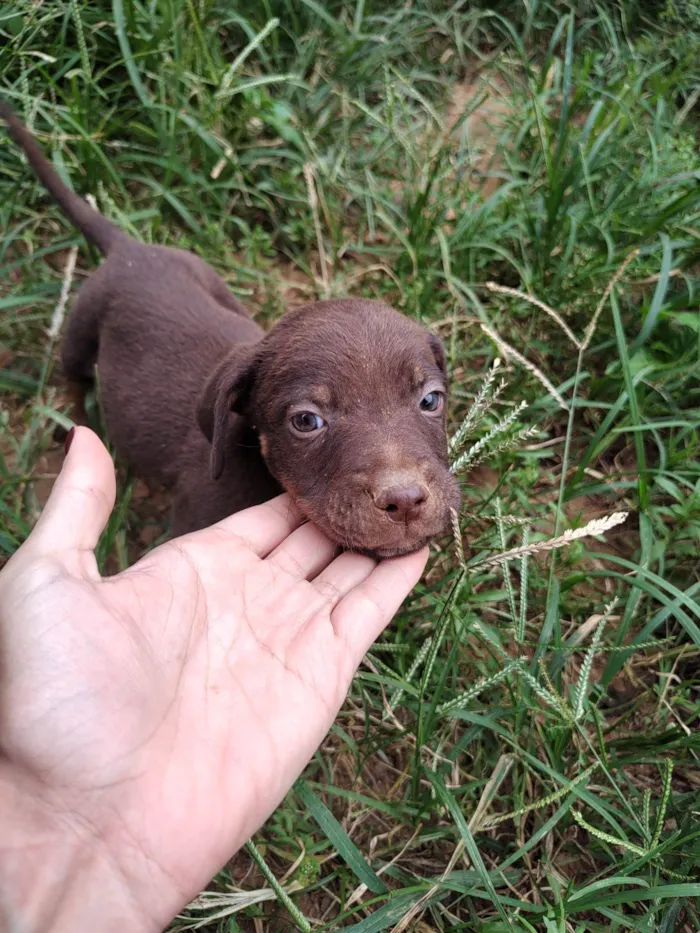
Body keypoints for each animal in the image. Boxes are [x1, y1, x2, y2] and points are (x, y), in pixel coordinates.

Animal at [2, 100, 460, 552]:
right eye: (306, 422)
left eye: (430, 400)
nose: (405, 501)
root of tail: (130, 249)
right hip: (80, 331)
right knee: (74, 379)